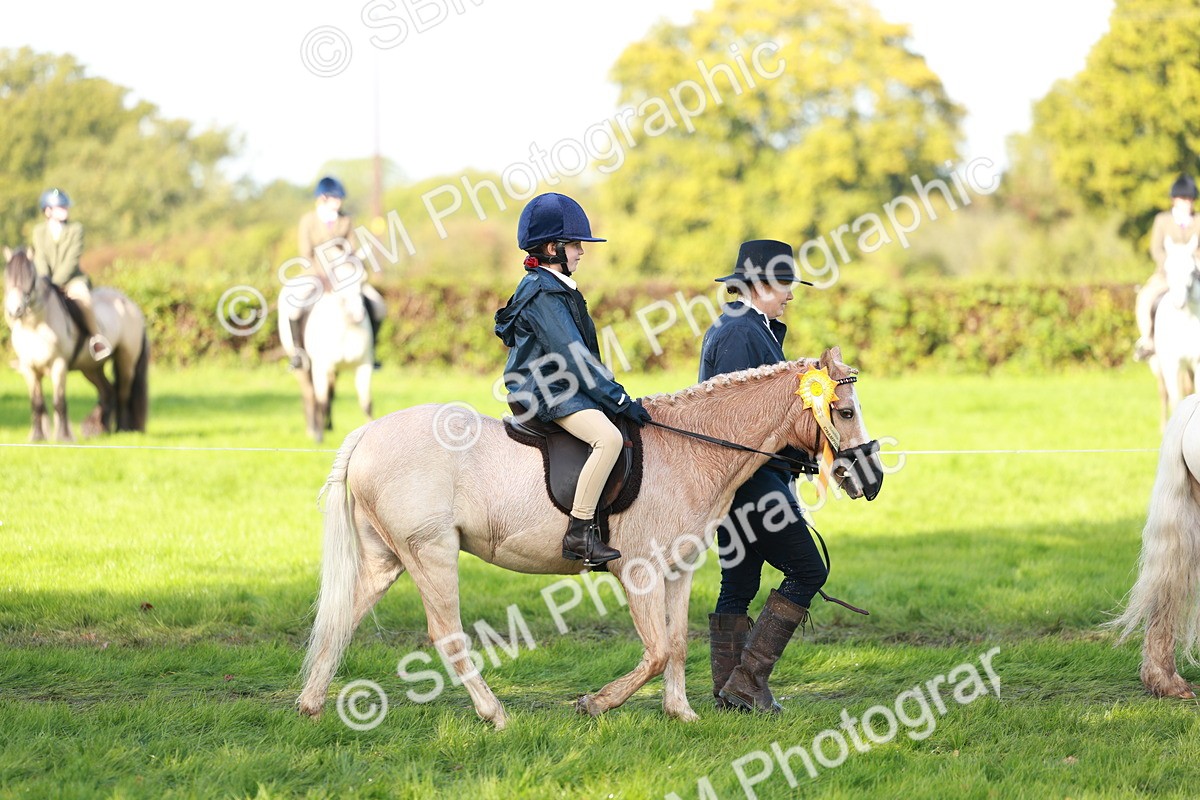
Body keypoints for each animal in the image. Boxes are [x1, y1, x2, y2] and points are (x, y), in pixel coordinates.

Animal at [3, 248, 148, 440]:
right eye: (7, 276)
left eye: (30, 277)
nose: (15, 310)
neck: (35, 326)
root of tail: (131, 304)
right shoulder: (29, 369)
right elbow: (37, 403)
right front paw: (37, 437)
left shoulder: (59, 365)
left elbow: (59, 402)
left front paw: (64, 437)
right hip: (91, 368)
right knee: (108, 392)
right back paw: (101, 430)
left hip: (125, 361)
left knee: (123, 394)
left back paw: (122, 429)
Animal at [279, 281, 376, 443]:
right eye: (343, 296)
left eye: (360, 290)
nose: (359, 315)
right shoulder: (321, 368)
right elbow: (321, 401)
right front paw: (319, 436)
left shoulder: (364, 365)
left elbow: (366, 403)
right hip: (302, 366)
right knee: (310, 394)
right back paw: (312, 429)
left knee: (330, 393)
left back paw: (328, 426)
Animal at [297, 347, 883, 729]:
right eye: (844, 410)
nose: (870, 479)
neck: (693, 449)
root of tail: (367, 433)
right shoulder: (640, 572)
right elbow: (655, 652)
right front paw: (595, 705)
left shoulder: (679, 570)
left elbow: (676, 644)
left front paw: (682, 713)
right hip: (431, 553)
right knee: (448, 635)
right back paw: (495, 714)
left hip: (387, 558)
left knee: (342, 618)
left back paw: (311, 705)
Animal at [1150, 236, 1200, 429]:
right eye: (1167, 269)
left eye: (1193, 270)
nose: (1179, 302)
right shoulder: (1171, 365)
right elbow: (1175, 399)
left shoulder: (1197, 363)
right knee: (1164, 392)